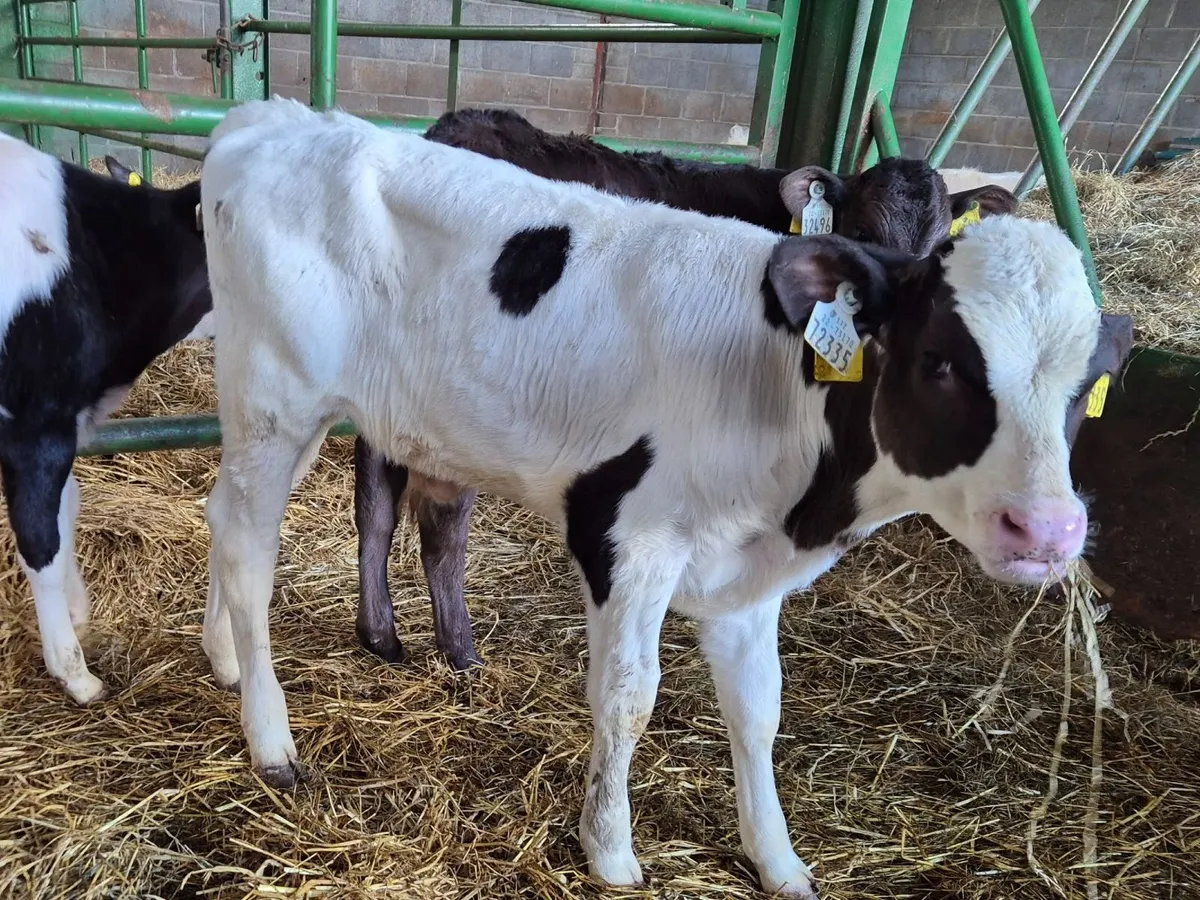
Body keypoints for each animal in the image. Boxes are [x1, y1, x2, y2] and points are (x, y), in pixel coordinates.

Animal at [197, 99, 1131, 897]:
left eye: (1086, 387)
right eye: (940, 359)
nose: (1049, 530)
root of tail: (270, 120)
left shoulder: (748, 574)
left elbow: (759, 711)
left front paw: (778, 859)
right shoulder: (624, 537)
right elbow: (627, 698)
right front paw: (611, 850)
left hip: (297, 415)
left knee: (223, 515)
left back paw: (226, 660)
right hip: (276, 398)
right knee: (250, 549)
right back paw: (271, 737)